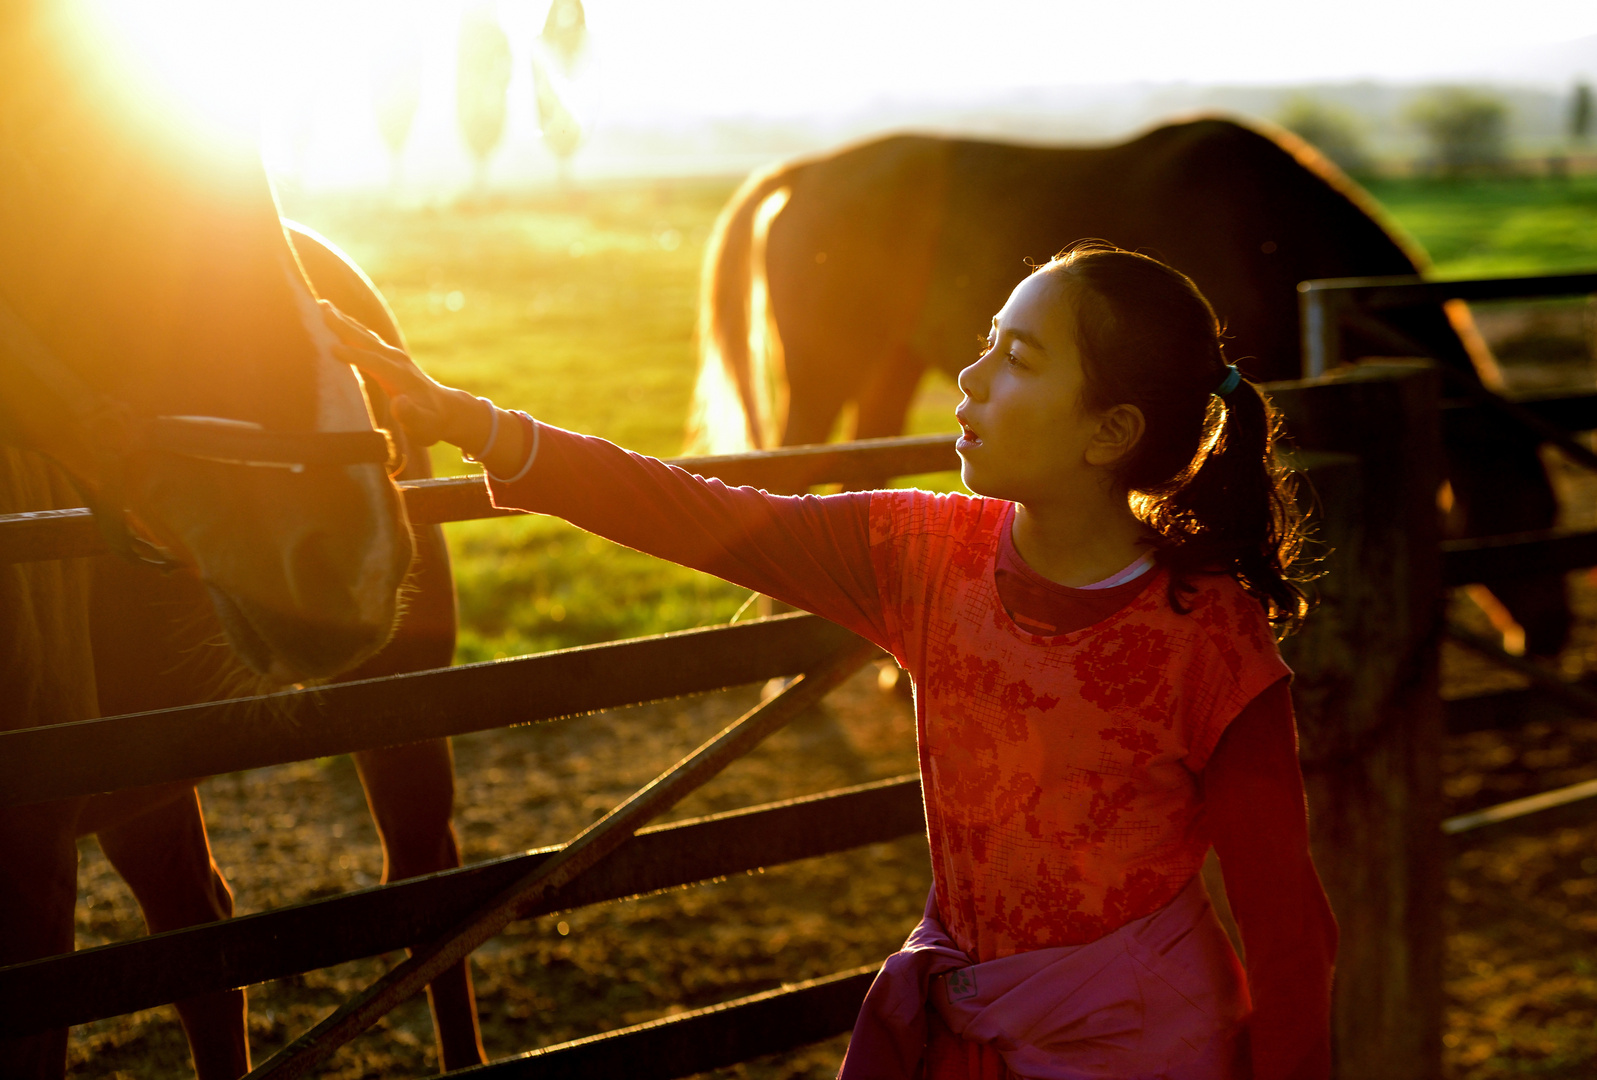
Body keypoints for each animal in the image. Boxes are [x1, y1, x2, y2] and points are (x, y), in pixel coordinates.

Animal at [693, 115, 1565, 658]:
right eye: (1524, 511)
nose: (1550, 636)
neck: (1267, 228)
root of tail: (802, 173)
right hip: (826, 365)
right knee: (798, 462)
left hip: (888, 364)